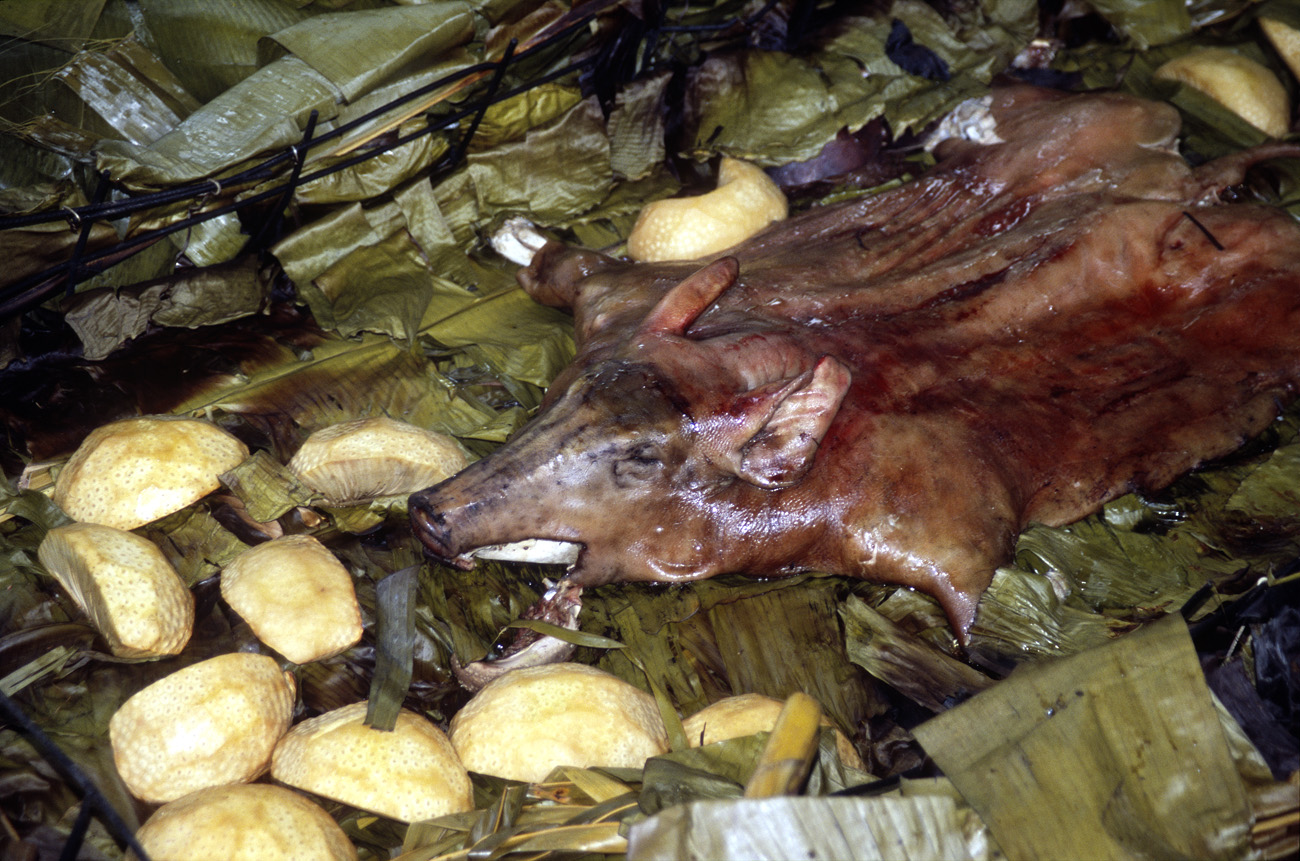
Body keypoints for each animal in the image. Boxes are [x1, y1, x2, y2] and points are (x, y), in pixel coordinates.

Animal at [410, 85, 1300, 660]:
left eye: (641, 460)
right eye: (562, 391)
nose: (427, 513)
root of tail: (1193, 183)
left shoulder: (939, 535)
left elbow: (967, 612)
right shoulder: (615, 296)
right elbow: (565, 270)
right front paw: (519, 238)